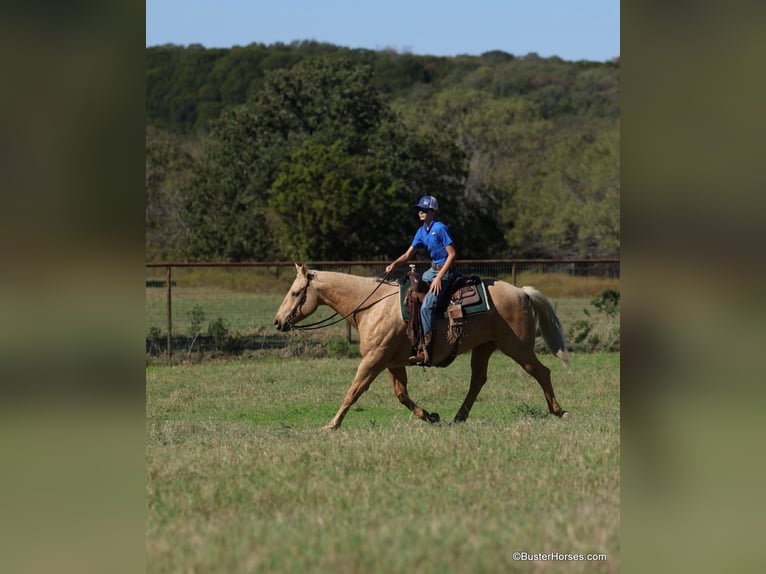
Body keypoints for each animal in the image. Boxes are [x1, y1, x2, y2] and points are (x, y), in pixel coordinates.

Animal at [274, 263, 569, 430]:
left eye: (295, 292)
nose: (278, 321)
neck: (373, 306)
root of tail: (522, 292)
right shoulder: (391, 363)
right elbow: (401, 395)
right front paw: (430, 416)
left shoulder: (373, 360)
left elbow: (353, 391)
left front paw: (332, 425)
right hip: (485, 347)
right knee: (478, 380)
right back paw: (458, 417)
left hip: (517, 347)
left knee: (541, 372)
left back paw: (559, 411)